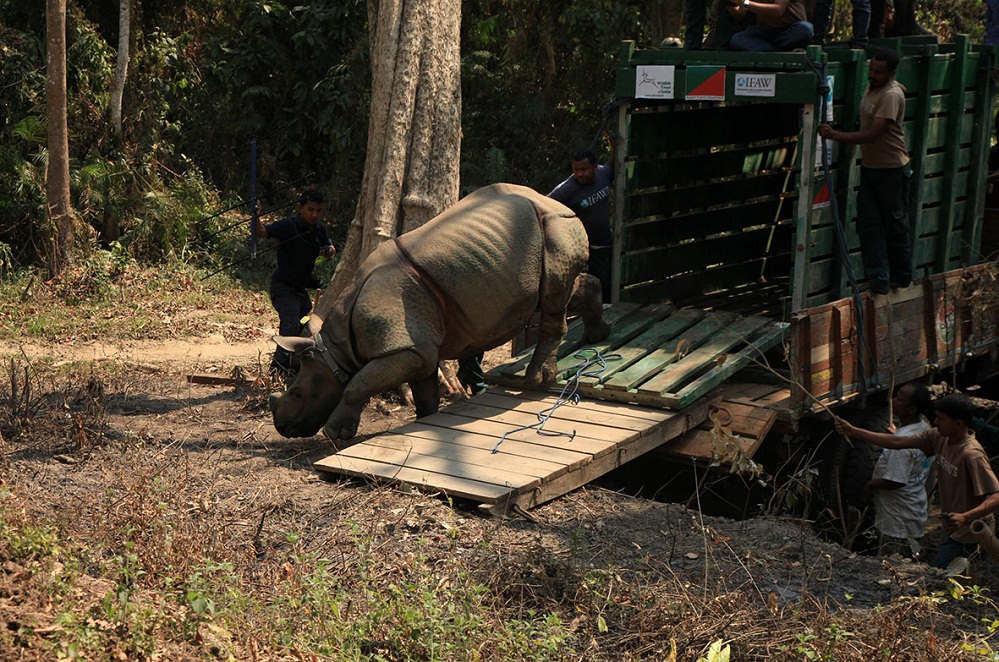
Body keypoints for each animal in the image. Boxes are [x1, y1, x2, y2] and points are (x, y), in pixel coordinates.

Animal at [269, 183, 611, 441]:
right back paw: (598, 336)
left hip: (555, 224)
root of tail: (552, 200)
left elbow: (358, 384)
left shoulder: (405, 349)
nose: (282, 427)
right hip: (548, 231)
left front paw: (335, 435)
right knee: (558, 292)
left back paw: (536, 380)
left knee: (553, 299)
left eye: (298, 393)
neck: (337, 350)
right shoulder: (418, 351)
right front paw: (425, 421)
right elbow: (424, 393)